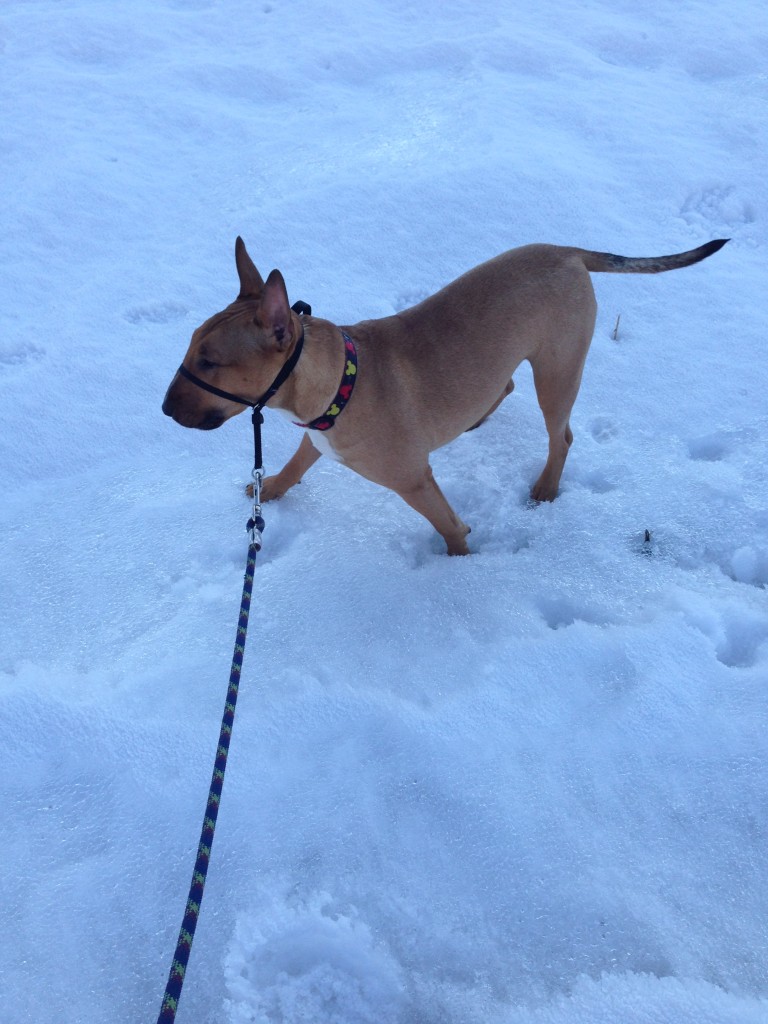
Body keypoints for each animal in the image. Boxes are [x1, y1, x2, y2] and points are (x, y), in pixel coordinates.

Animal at [162, 234, 729, 552]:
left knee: (561, 435)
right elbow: (298, 463)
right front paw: (273, 489)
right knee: (503, 382)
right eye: (190, 346)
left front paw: (459, 569)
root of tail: (569, 253)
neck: (340, 379)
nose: (164, 409)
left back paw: (546, 488)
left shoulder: (414, 480)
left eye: (211, 362)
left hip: (558, 368)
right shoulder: (316, 436)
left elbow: (451, 527)